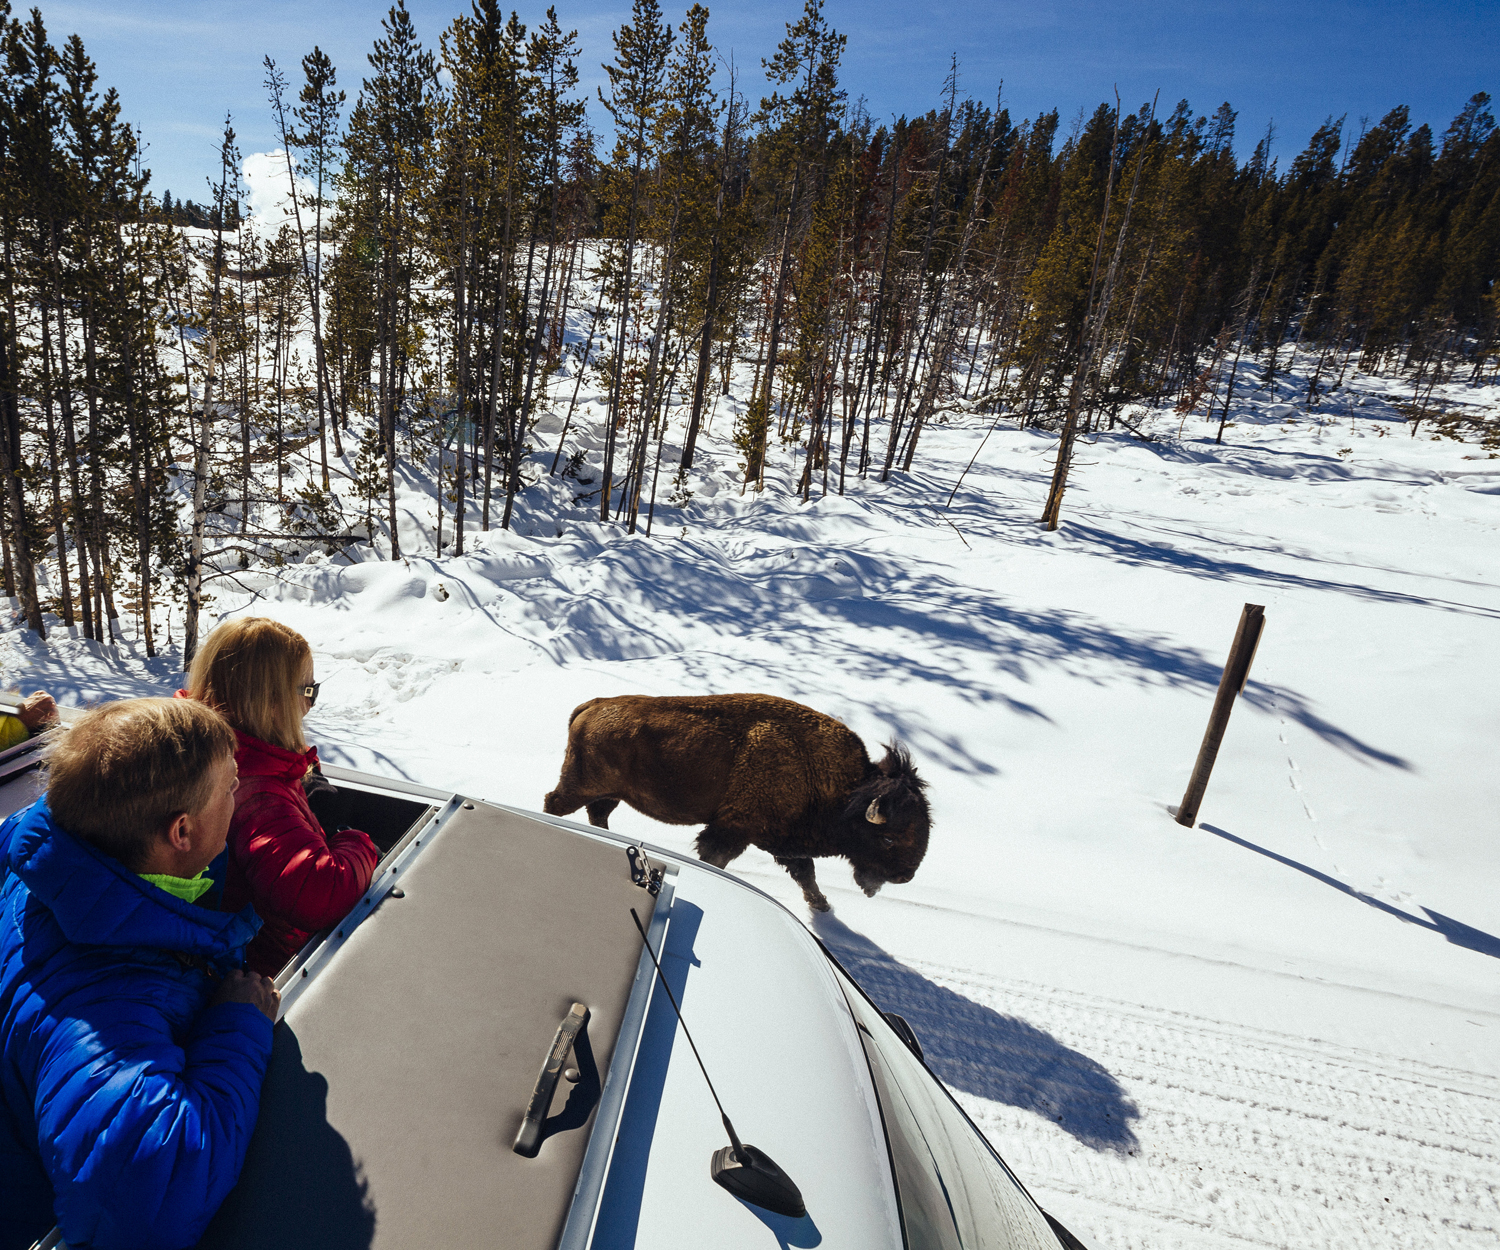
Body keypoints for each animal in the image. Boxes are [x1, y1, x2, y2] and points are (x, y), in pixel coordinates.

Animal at [546, 693, 930, 906]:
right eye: (888, 837)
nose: (905, 876)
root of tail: (593, 705)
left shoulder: (784, 840)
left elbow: (805, 873)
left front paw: (821, 905)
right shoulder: (734, 830)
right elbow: (718, 858)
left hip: (610, 793)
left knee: (597, 813)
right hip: (581, 785)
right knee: (555, 803)